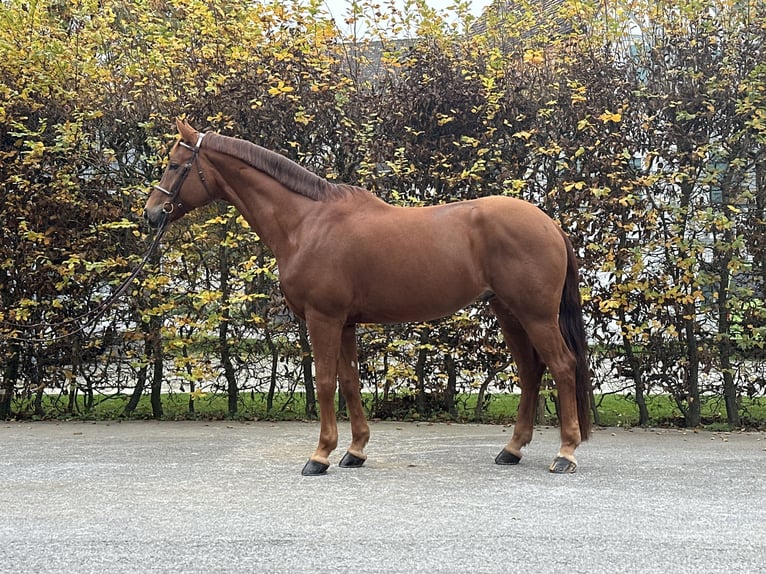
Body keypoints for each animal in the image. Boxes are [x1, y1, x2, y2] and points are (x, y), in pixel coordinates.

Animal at [148, 119, 592, 474]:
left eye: (175, 165)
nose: (151, 214)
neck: (306, 223)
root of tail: (550, 224)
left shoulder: (323, 318)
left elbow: (325, 382)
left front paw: (320, 455)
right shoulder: (344, 322)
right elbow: (349, 382)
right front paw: (355, 450)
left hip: (535, 315)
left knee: (562, 366)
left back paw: (566, 453)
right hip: (508, 312)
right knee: (531, 371)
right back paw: (512, 449)